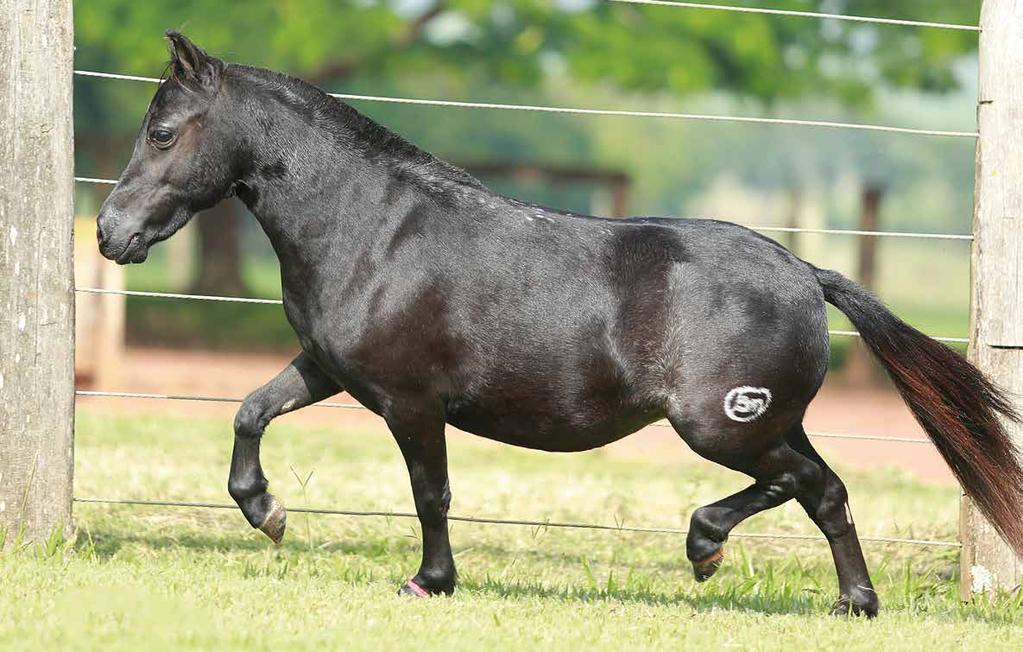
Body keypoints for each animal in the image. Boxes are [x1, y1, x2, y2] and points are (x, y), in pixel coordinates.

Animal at [96, 34, 1023, 614]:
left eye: (163, 132)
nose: (110, 233)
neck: (374, 228)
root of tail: (804, 271)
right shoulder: (328, 368)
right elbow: (249, 413)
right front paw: (268, 513)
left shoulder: (410, 402)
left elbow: (430, 493)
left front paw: (430, 581)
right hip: (757, 425)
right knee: (818, 491)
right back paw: (845, 600)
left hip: (725, 426)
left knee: (808, 486)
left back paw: (712, 550)